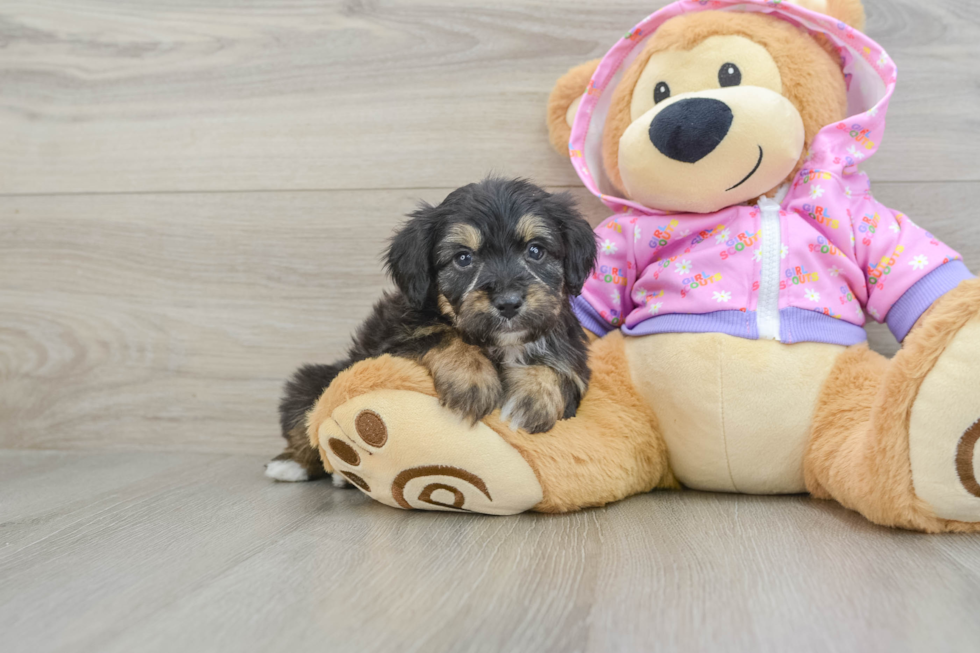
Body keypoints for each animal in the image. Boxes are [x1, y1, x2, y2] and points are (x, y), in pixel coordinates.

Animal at [264, 176, 596, 482]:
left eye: (536, 251)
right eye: (463, 258)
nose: (509, 303)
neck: (502, 343)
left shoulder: (574, 357)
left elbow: (557, 368)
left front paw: (533, 400)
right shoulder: (394, 338)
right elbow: (441, 334)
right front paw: (471, 381)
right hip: (313, 380)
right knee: (305, 420)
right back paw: (292, 465)